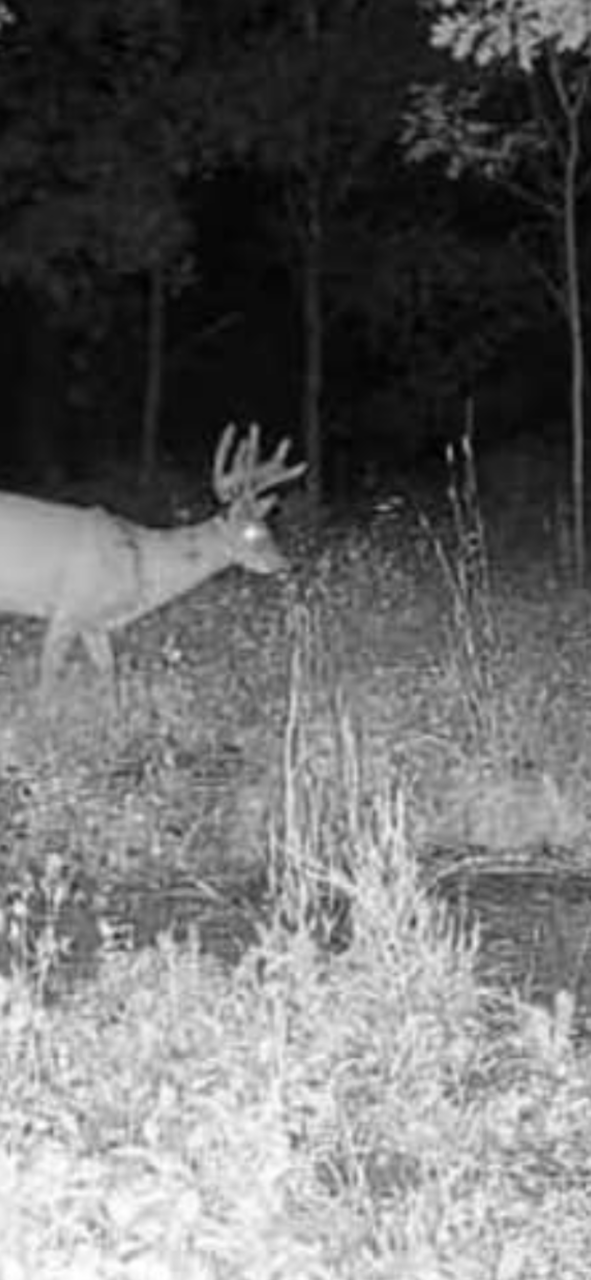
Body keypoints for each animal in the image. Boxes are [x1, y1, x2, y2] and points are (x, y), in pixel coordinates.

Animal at [0, 423, 306, 694]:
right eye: (254, 532)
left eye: (269, 527)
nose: (286, 564)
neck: (139, 563)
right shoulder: (69, 608)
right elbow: (47, 682)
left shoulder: (94, 623)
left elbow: (109, 675)